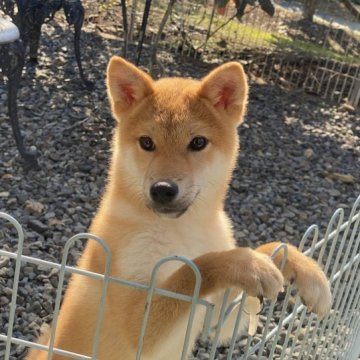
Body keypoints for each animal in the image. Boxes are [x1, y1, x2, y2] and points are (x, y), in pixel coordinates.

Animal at [28, 57, 332, 360]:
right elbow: (196, 268)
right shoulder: (135, 326)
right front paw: (247, 265)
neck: (183, 229)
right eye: (146, 142)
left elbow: (267, 249)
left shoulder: (216, 318)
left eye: (198, 142)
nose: (163, 189)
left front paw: (307, 272)